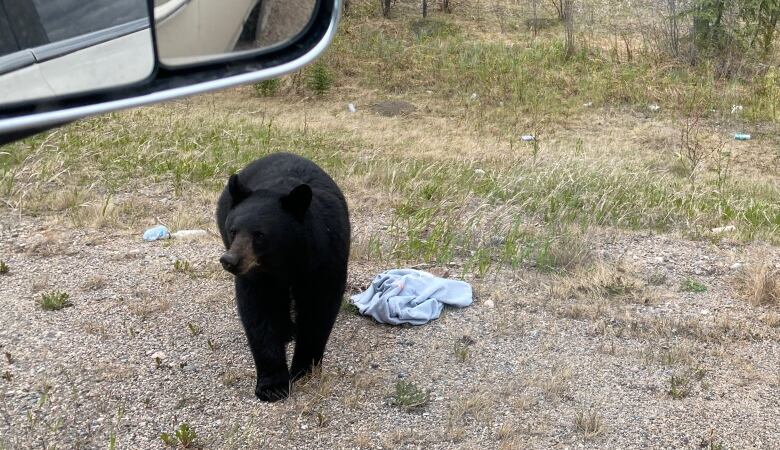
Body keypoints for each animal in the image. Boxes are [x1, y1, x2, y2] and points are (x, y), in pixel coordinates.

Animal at [213, 153, 348, 402]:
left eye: (260, 235)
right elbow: (259, 313)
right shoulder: (256, 276)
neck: (286, 260)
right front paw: (272, 386)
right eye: (233, 231)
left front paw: (303, 369)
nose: (229, 260)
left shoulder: (325, 259)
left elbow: (318, 308)